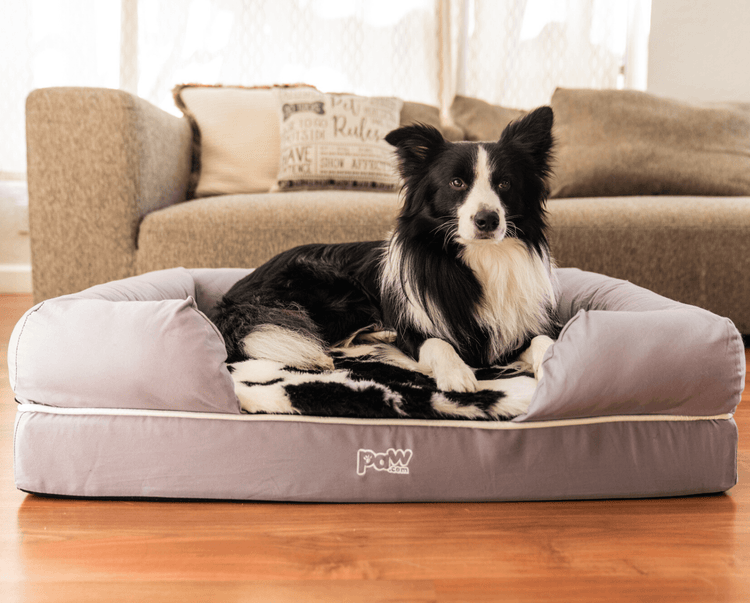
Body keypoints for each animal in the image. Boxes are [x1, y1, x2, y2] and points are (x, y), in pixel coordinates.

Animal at [210, 106, 560, 394]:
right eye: (457, 183)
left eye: (505, 184)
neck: (481, 258)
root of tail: (237, 292)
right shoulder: (416, 329)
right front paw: (457, 373)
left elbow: (545, 340)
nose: (487, 220)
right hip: (340, 293)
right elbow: (436, 343)